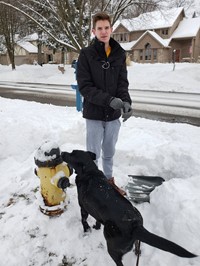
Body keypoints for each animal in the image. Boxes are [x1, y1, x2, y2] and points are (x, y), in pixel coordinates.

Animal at [61, 151, 196, 264]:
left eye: (71, 154)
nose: (62, 152)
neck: (89, 171)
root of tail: (135, 225)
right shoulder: (96, 211)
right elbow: (97, 220)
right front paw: (96, 226)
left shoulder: (83, 207)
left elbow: (83, 220)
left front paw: (87, 230)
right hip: (132, 240)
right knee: (137, 246)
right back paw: (137, 252)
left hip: (112, 246)